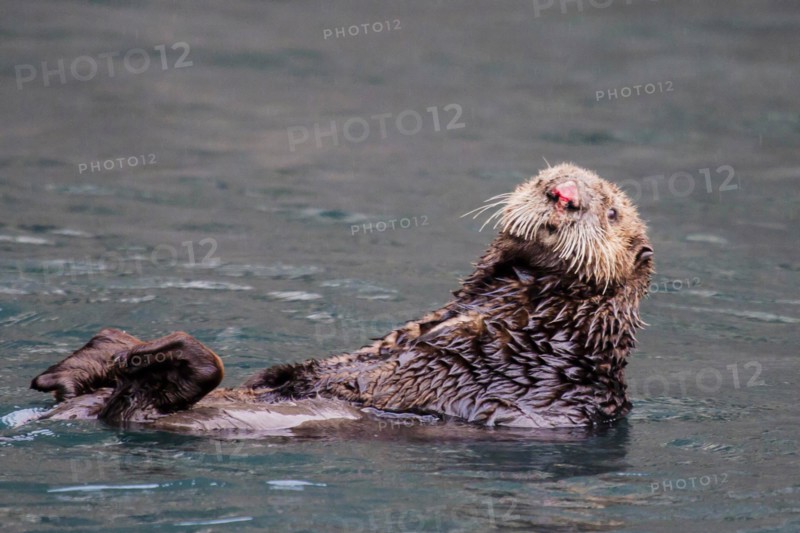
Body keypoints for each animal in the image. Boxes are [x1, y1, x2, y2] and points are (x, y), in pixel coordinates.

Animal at [29, 163, 654, 433]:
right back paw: (104, 351)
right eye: (546, 177)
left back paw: (148, 354)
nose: (563, 193)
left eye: (612, 211)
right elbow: (330, 365)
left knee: (145, 399)